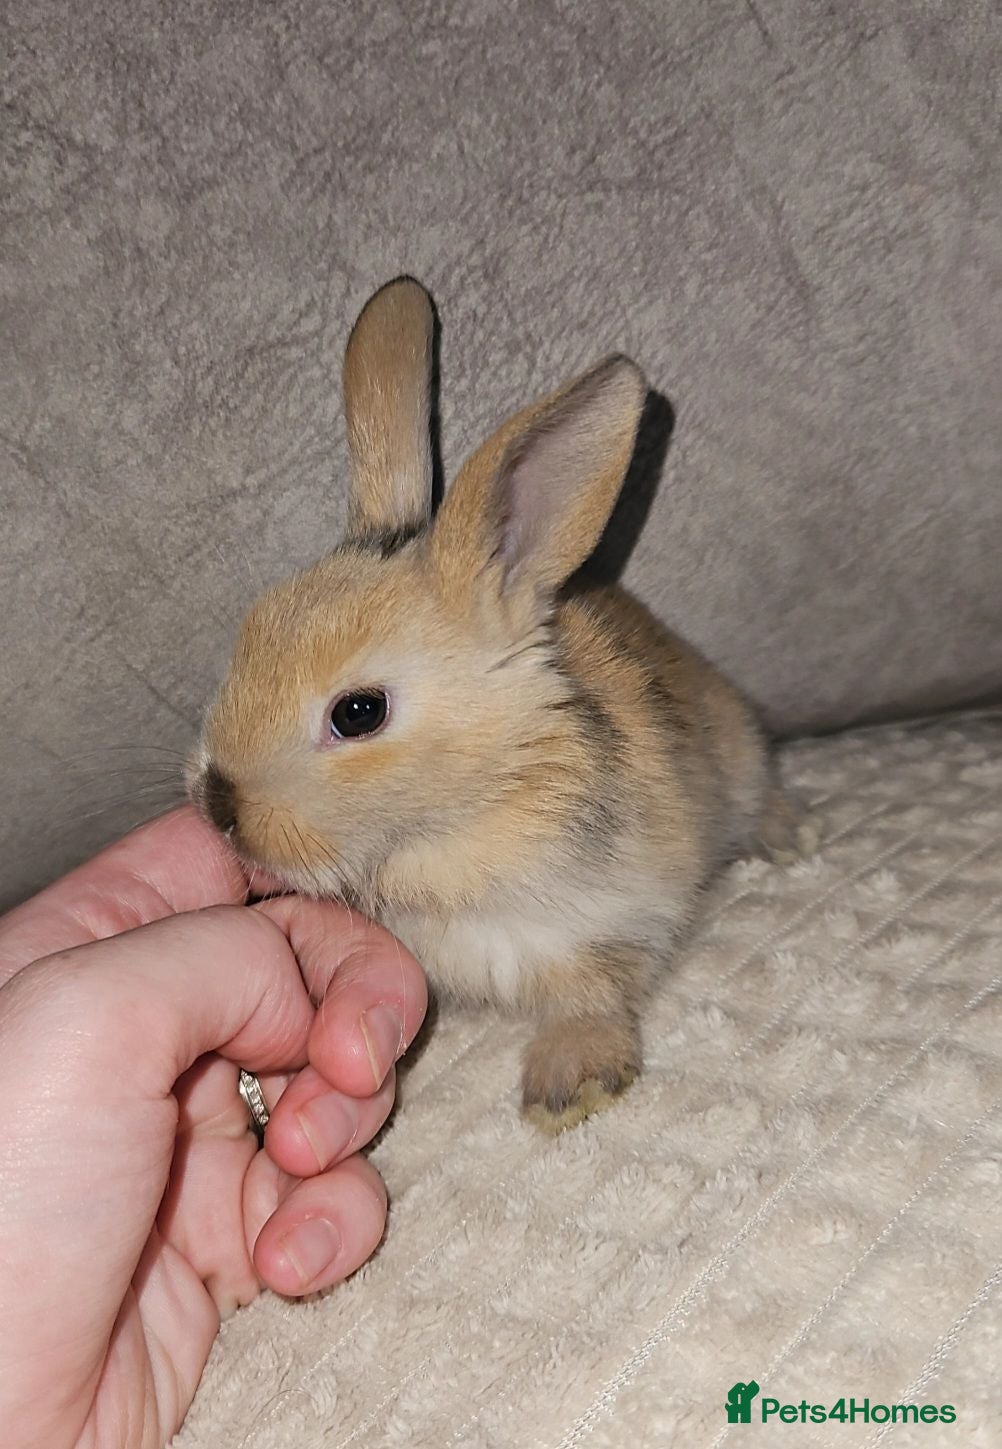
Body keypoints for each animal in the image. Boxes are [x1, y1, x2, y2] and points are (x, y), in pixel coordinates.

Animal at [188, 277, 812, 1133]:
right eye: (244, 639)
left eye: (358, 713)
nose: (219, 805)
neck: (461, 814)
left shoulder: (605, 920)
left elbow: (591, 993)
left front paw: (572, 1086)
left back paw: (789, 839)